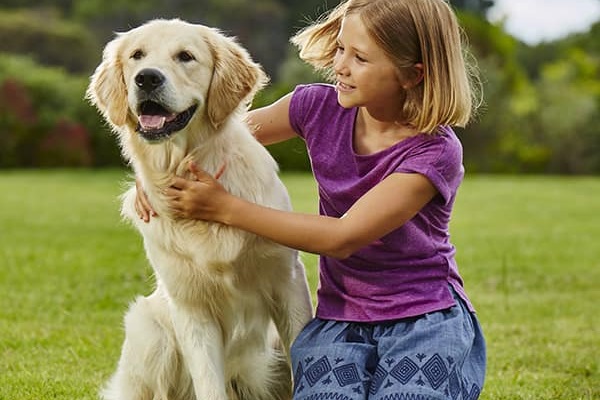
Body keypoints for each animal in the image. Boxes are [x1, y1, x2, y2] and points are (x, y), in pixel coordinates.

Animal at [89, 19, 314, 400]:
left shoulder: (287, 282)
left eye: (186, 56)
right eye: (137, 55)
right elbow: (209, 383)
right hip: (149, 330)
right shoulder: (191, 307)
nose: (147, 78)